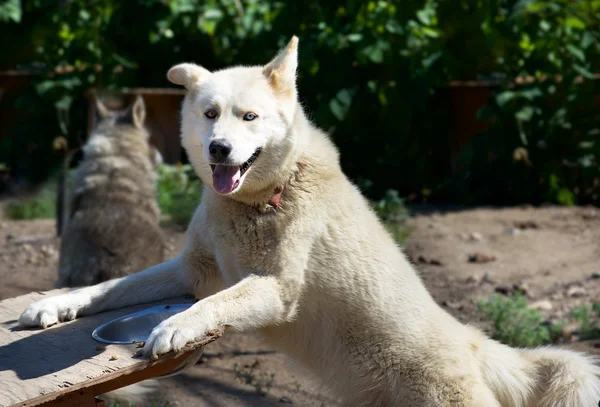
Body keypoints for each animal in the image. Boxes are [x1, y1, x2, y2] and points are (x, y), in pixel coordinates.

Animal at [18, 36, 600, 406]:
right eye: (210, 114)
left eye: (249, 117)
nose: (219, 148)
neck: (258, 203)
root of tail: (472, 339)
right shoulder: (190, 271)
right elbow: (108, 288)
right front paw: (52, 306)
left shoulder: (273, 289)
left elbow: (210, 305)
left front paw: (172, 327)